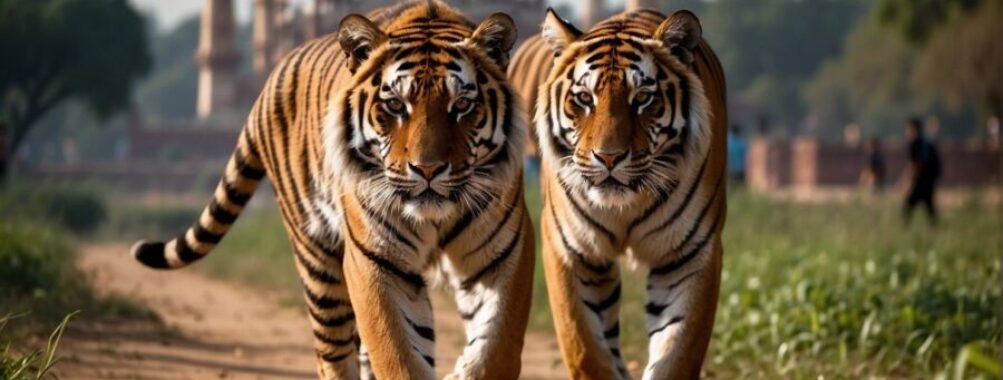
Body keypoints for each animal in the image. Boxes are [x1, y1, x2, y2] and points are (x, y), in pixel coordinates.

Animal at [130, 1, 537, 378]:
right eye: (395, 105)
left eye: (463, 105)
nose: (428, 169)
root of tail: (271, 80)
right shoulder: (376, 262)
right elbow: (399, 355)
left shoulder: (504, 256)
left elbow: (495, 350)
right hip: (318, 261)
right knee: (334, 353)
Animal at [513, 8, 726, 380]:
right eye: (584, 98)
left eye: (642, 98)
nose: (609, 157)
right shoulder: (572, 251)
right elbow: (586, 349)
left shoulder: (691, 254)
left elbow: (677, 352)